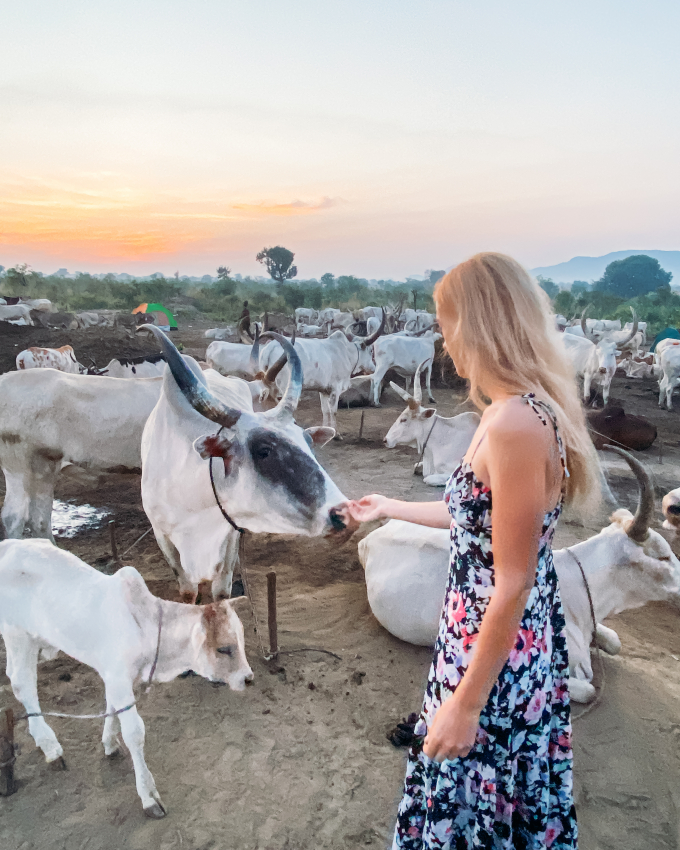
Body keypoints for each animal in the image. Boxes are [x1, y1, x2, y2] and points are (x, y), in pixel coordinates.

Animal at [0, 536, 252, 816]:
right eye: (224, 648)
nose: (247, 678)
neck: (146, 628)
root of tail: (8, 545)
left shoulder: (115, 678)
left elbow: (112, 709)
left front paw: (109, 743)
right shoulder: (120, 679)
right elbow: (134, 732)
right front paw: (149, 795)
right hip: (17, 634)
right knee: (22, 682)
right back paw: (50, 745)